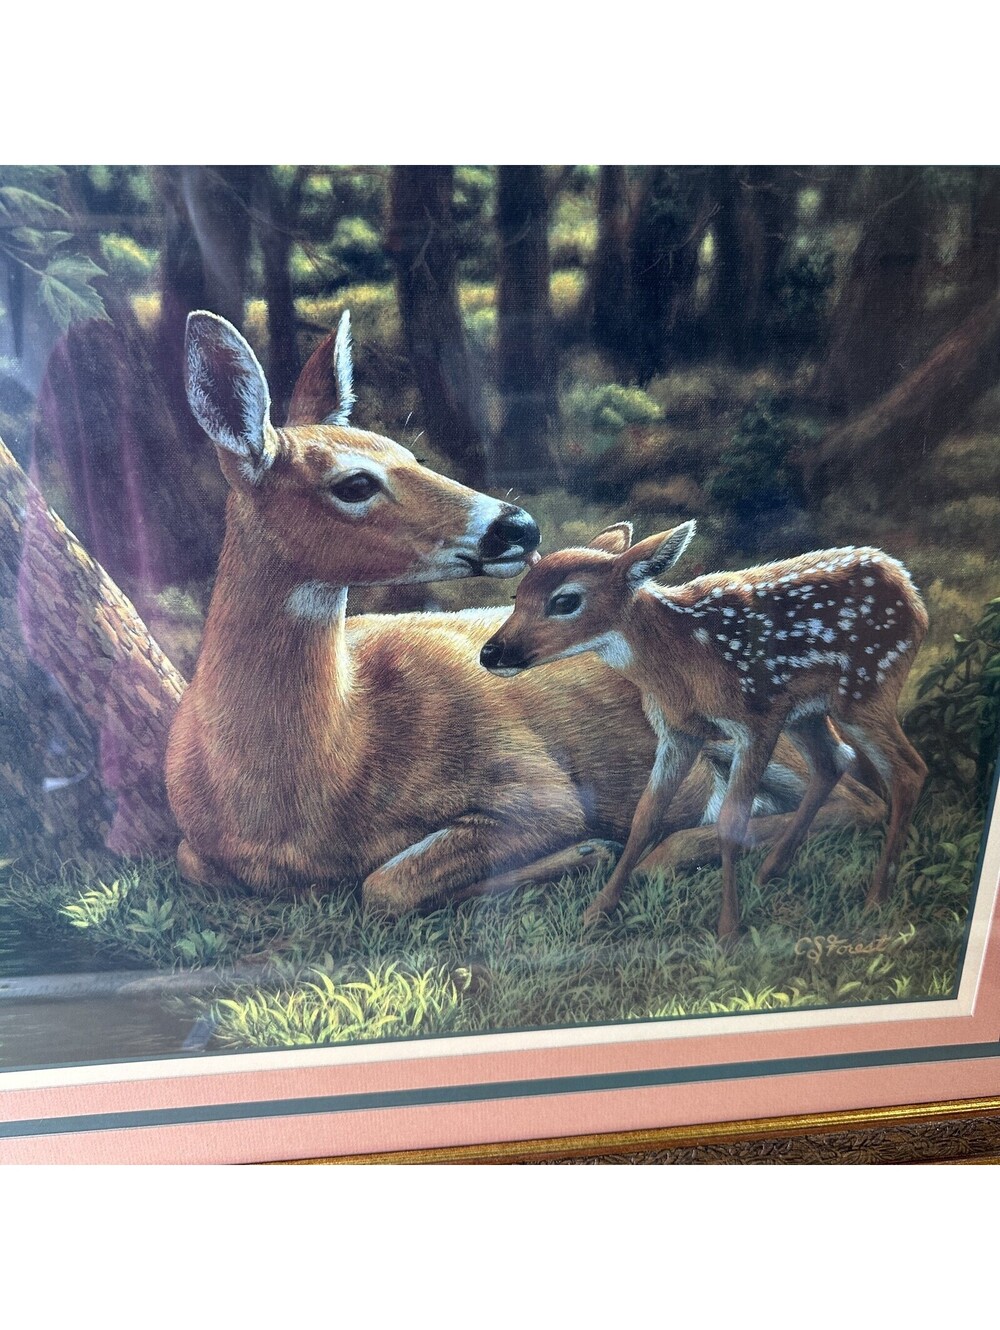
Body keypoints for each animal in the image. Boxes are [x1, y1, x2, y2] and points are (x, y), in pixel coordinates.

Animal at [166, 312, 885, 918]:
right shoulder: (195, 852)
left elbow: (385, 884)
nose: (518, 526)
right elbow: (205, 865)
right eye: (355, 483)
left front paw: (586, 851)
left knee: (856, 798)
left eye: (410, 454)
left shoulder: (535, 788)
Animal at [480, 520, 928, 938]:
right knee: (834, 761)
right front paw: (597, 911)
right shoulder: (678, 732)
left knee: (908, 770)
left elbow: (731, 822)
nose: (490, 652)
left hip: (866, 688)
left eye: (565, 600)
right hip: (807, 711)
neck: (683, 660)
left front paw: (728, 929)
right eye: (516, 596)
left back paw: (876, 898)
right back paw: (770, 871)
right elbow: (645, 816)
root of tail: (908, 586)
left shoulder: (755, 720)